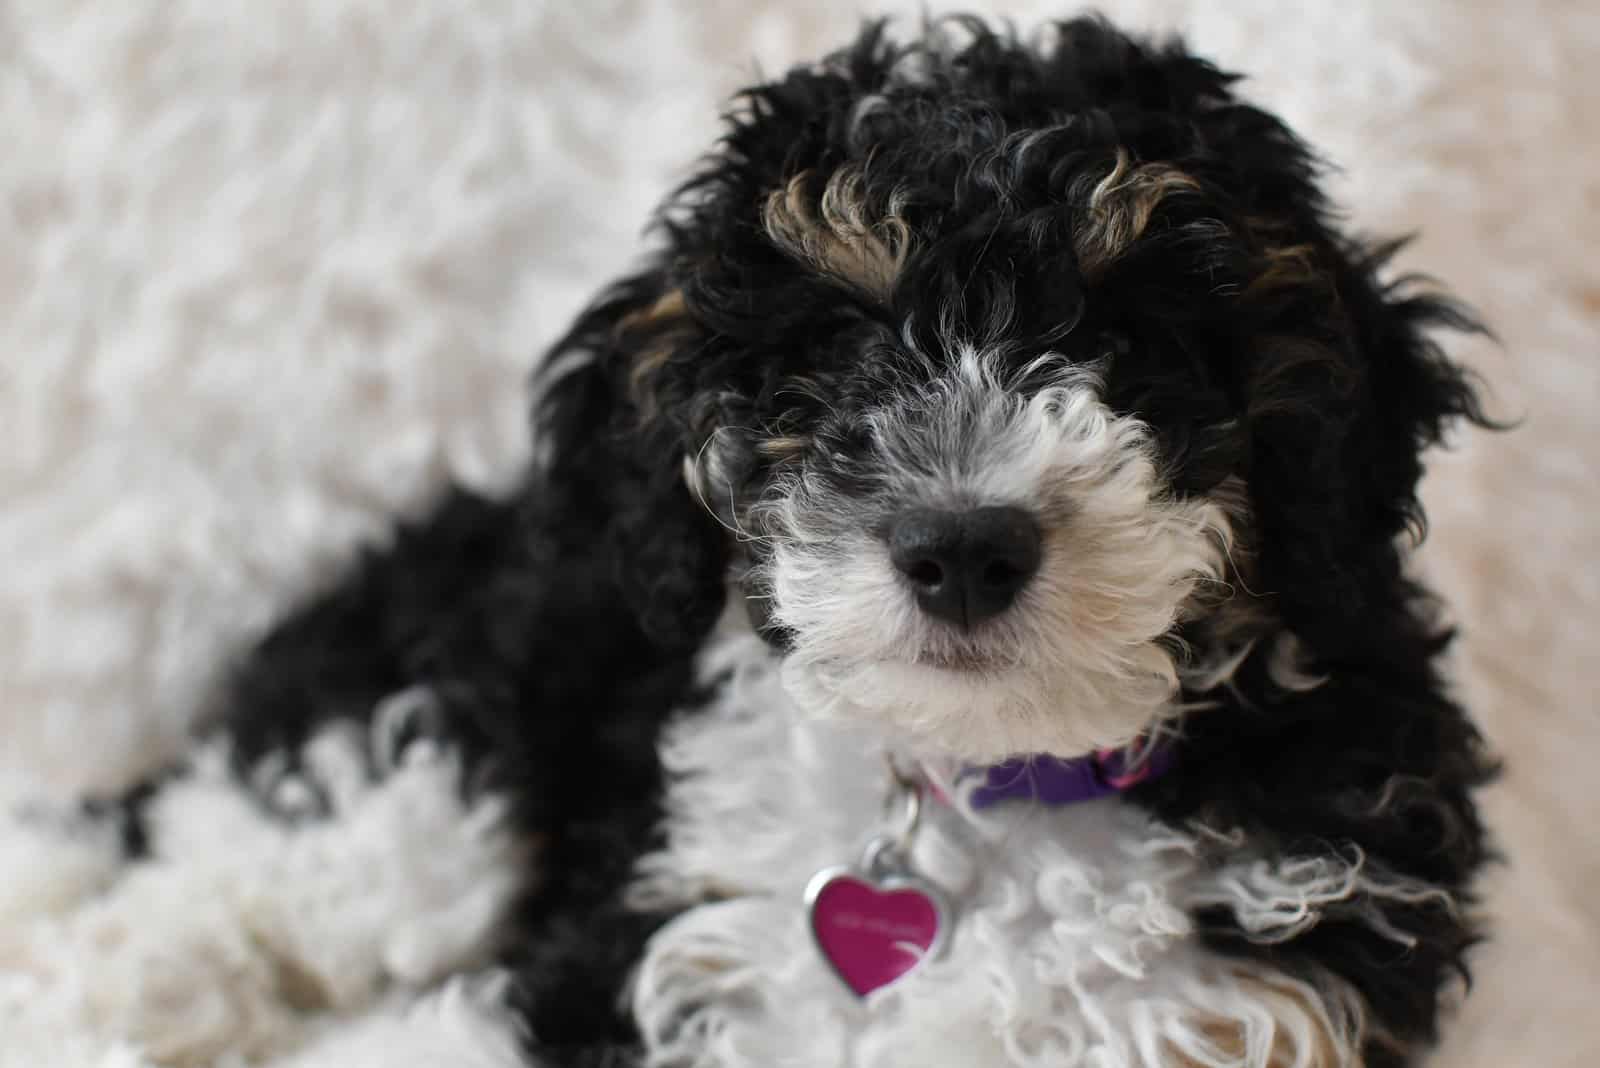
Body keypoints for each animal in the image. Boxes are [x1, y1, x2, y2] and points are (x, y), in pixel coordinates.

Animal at [43, 14, 1504, 1068]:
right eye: (837, 345)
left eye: (1134, 342)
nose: (960, 545)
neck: (982, 787)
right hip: (458, 714)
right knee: (257, 846)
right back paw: (122, 982)